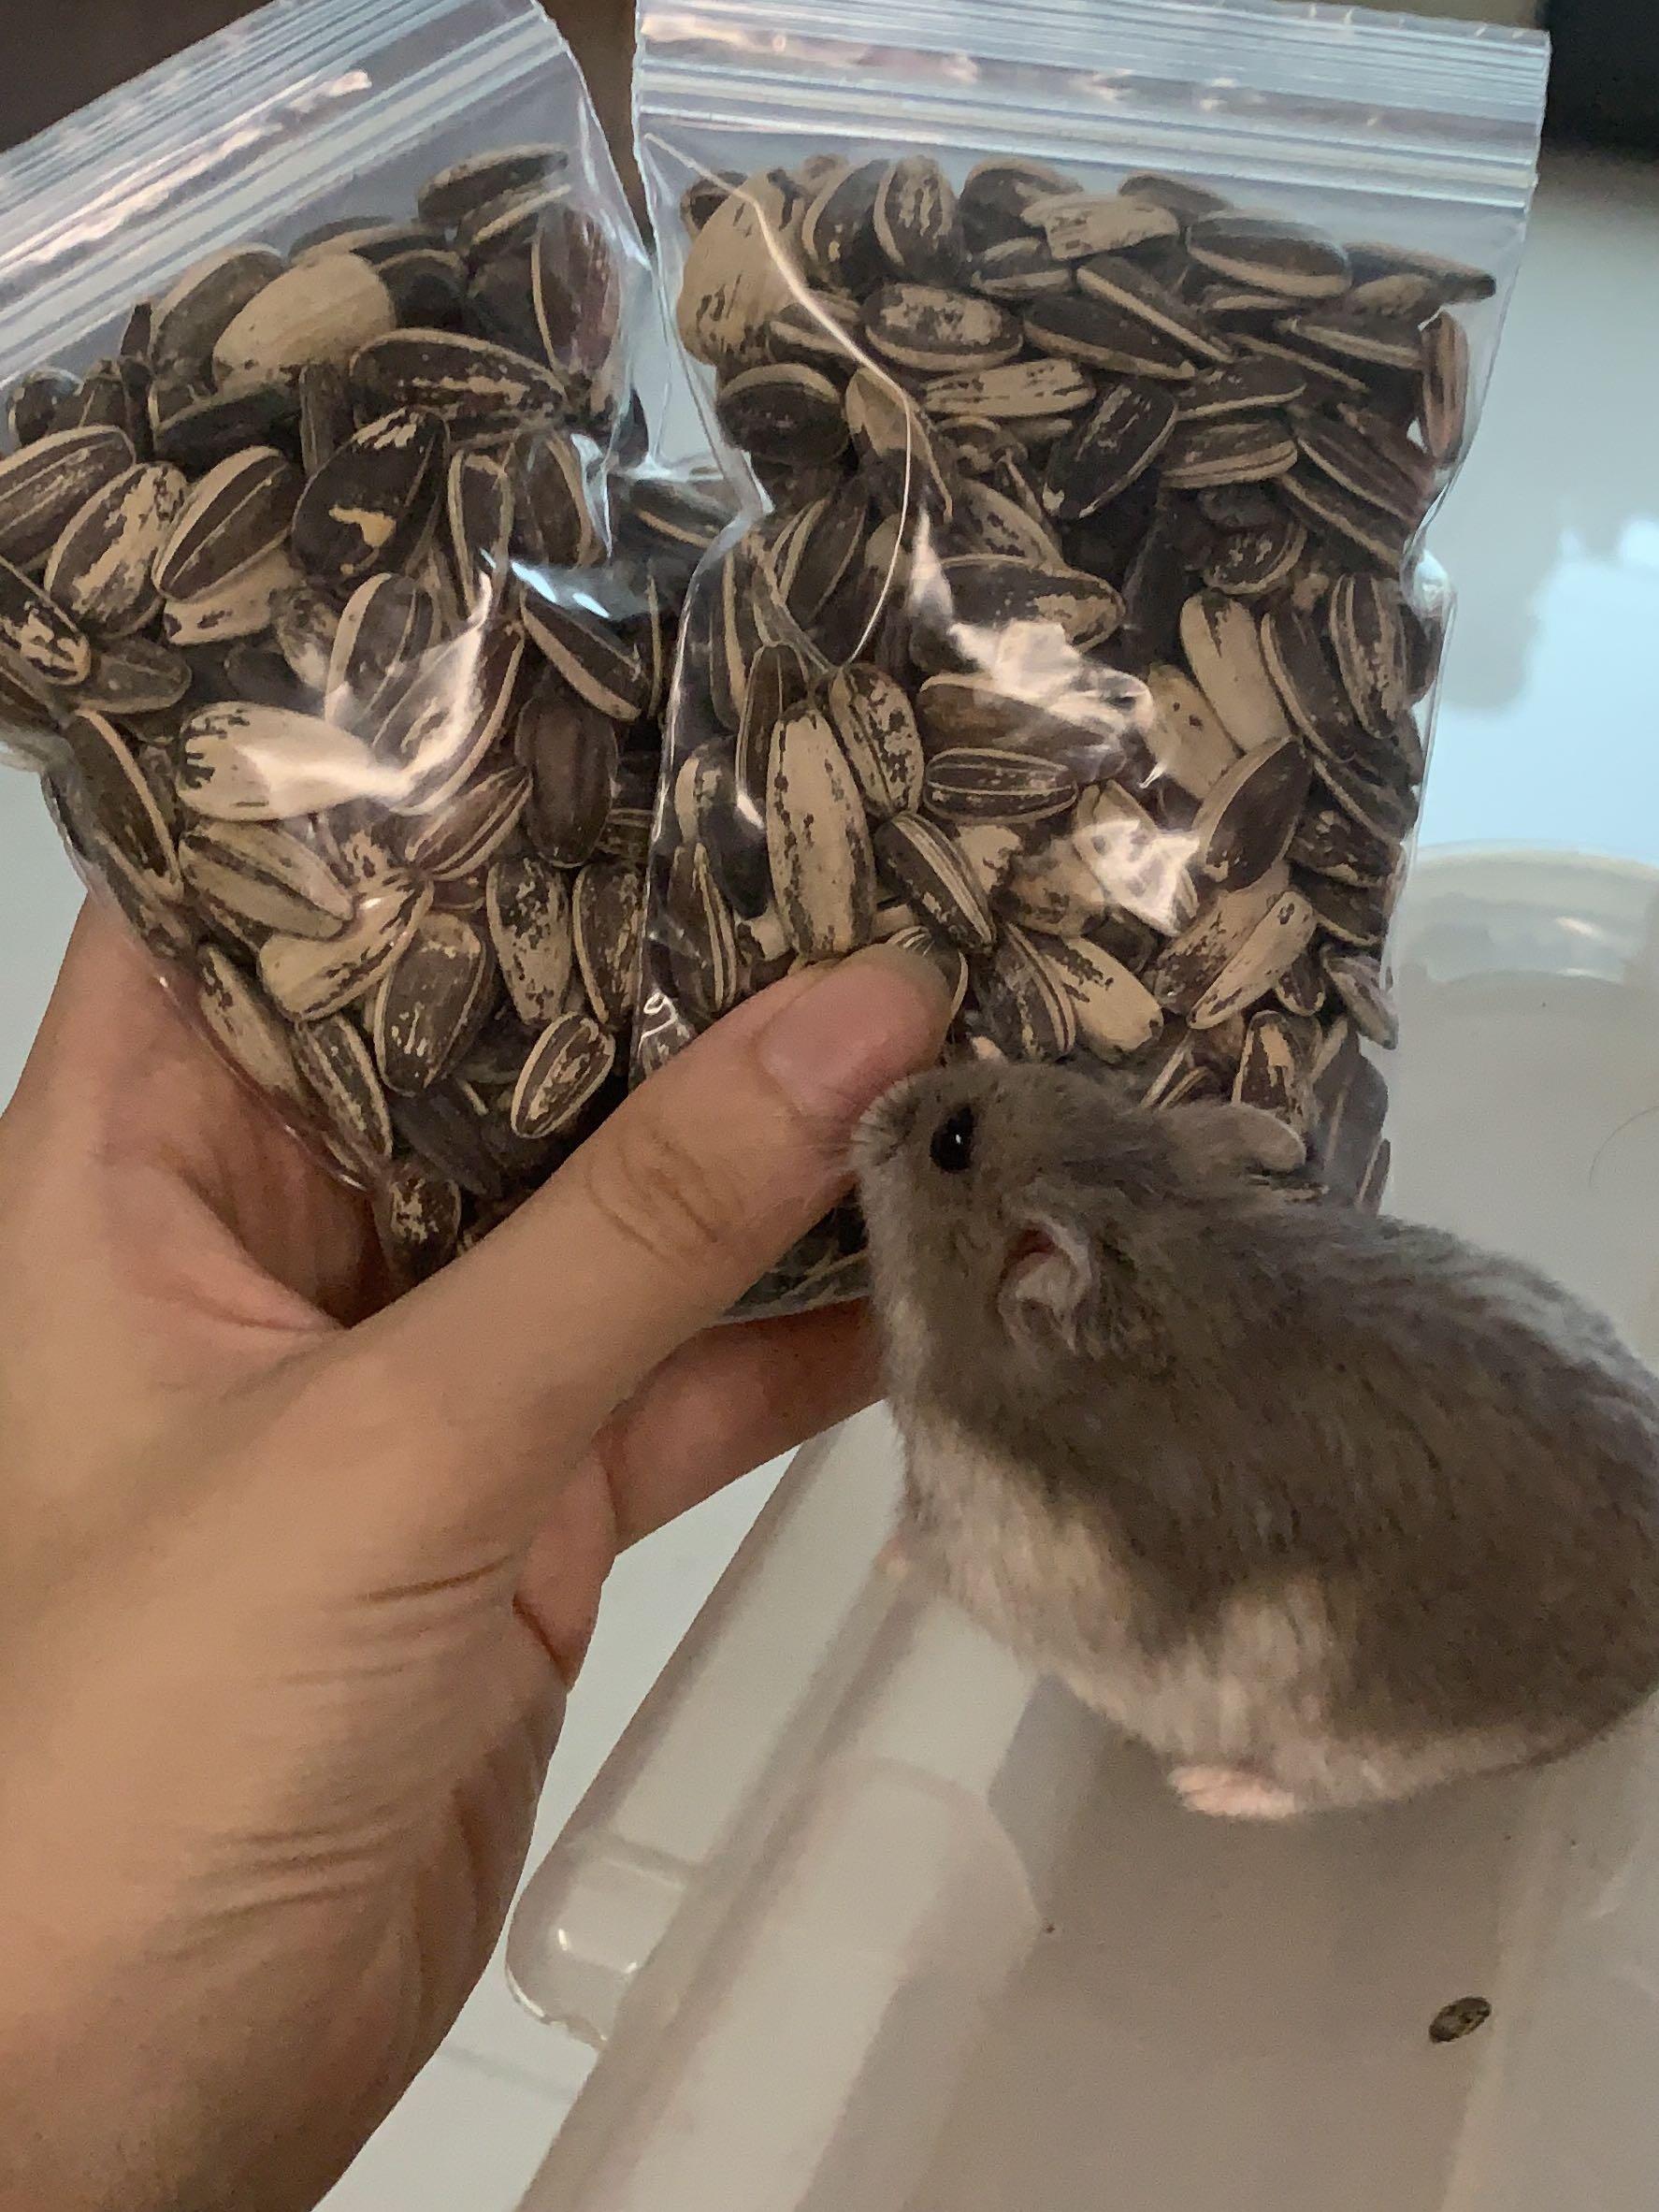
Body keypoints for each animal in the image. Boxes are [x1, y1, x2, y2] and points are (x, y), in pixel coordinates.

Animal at [856, 1061, 1659, 1819]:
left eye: (953, 1140)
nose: (876, 1102)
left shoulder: (972, 1537)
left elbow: (918, 1550)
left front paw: (877, 1565)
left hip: (1345, 1743)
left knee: (1304, 1792)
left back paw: (1200, 1787)